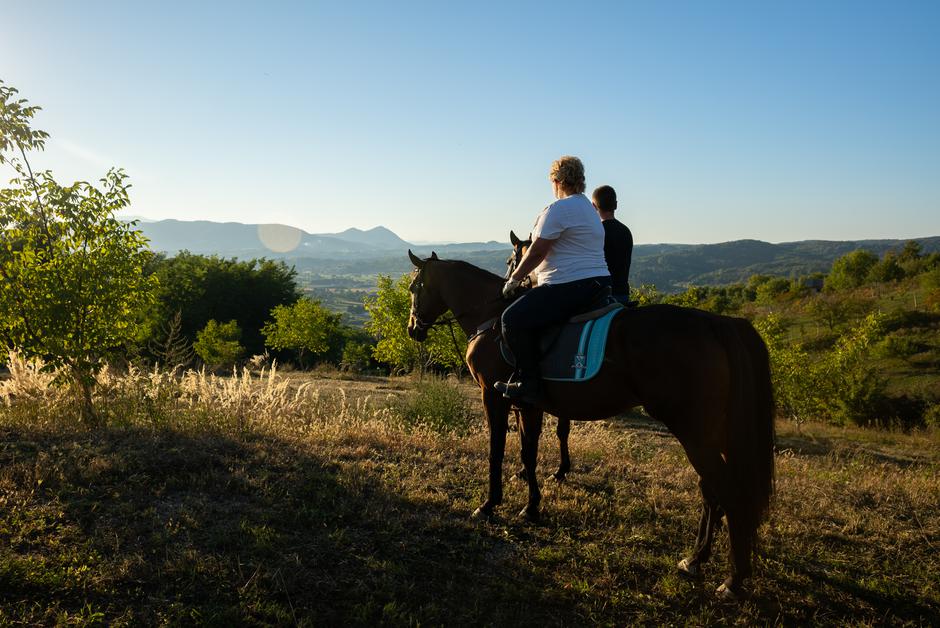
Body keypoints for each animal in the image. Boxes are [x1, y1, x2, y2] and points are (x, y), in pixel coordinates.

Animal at [408, 250, 776, 600]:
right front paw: (531, 507)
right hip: (713, 432)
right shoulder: (528, 404)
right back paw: (696, 559)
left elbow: (496, 451)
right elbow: (528, 454)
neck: (492, 316)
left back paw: (732, 580)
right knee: (712, 490)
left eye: (414, 287)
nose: (413, 329)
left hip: (694, 431)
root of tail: (717, 323)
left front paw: (489, 505)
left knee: (726, 490)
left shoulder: (494, 397)